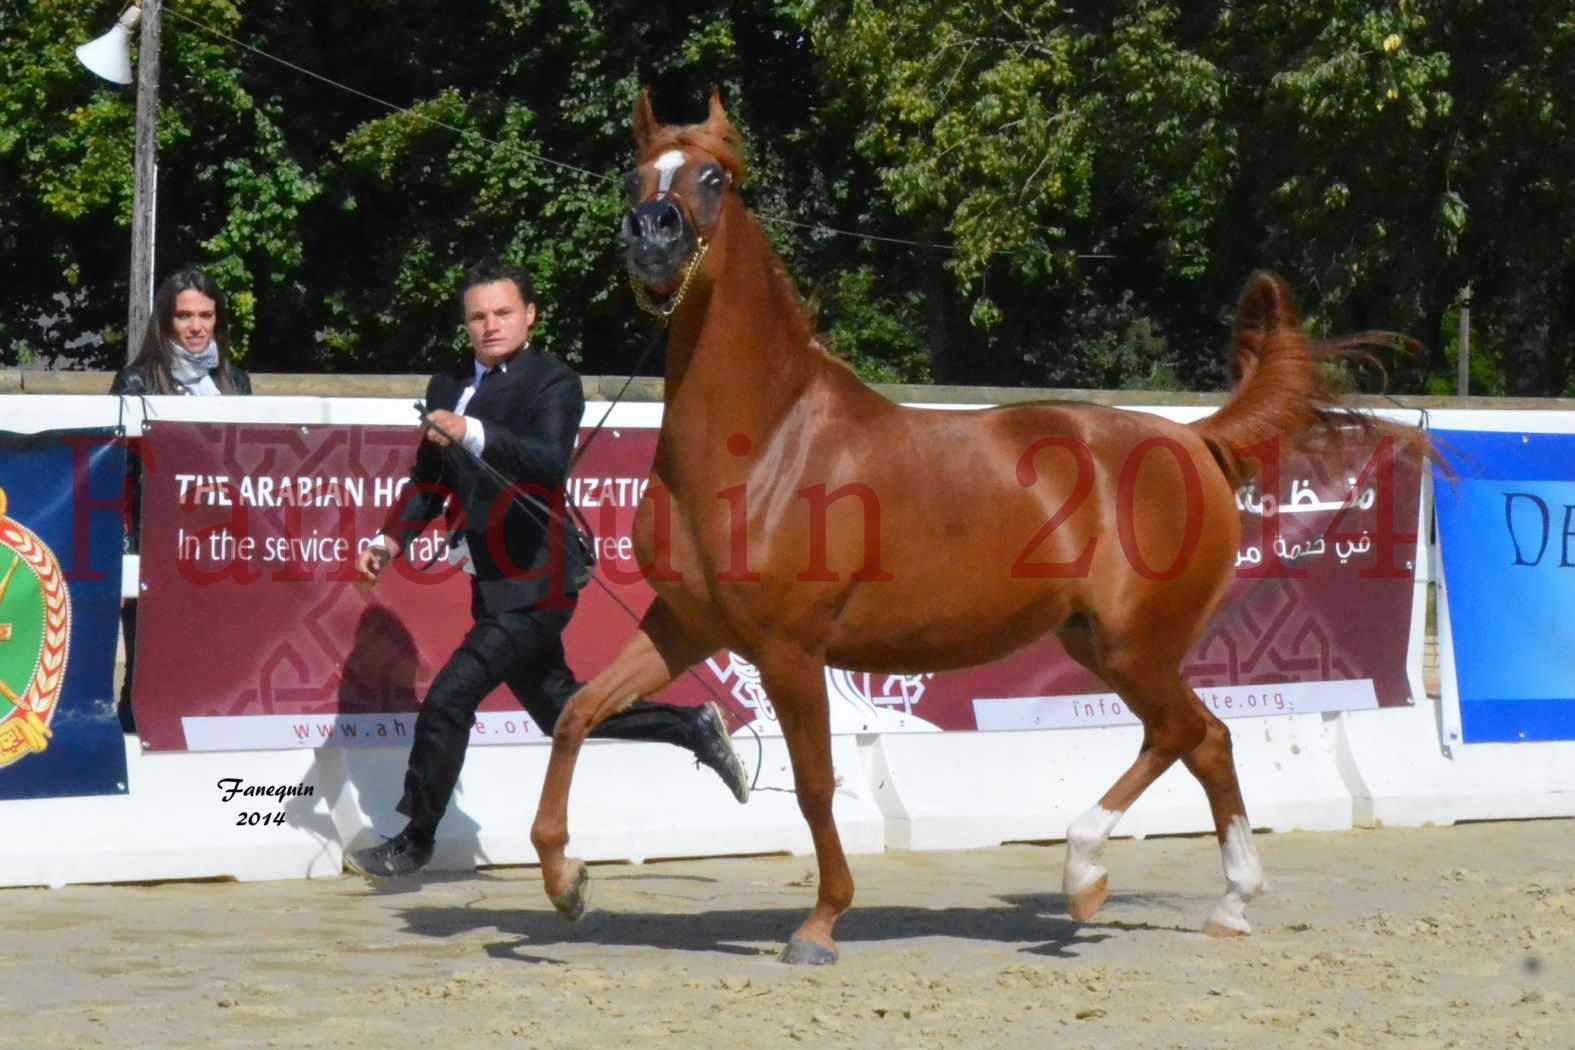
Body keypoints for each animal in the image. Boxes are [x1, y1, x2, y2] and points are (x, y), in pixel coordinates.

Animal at [532, 92, 1404, 969]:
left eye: (712, 178)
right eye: (636, 175)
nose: (649, 234)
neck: (765, 440)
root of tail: (1194, 440)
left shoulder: (789, 649)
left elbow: (815, 784)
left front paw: (819, 926)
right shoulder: (684, 625)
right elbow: (578, 714)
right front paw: (566, 883)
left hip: (1133, 644)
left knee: (1189, 733)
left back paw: (1097, 874)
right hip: (1098, 644)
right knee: (1200, 738)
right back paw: (1212, 900)